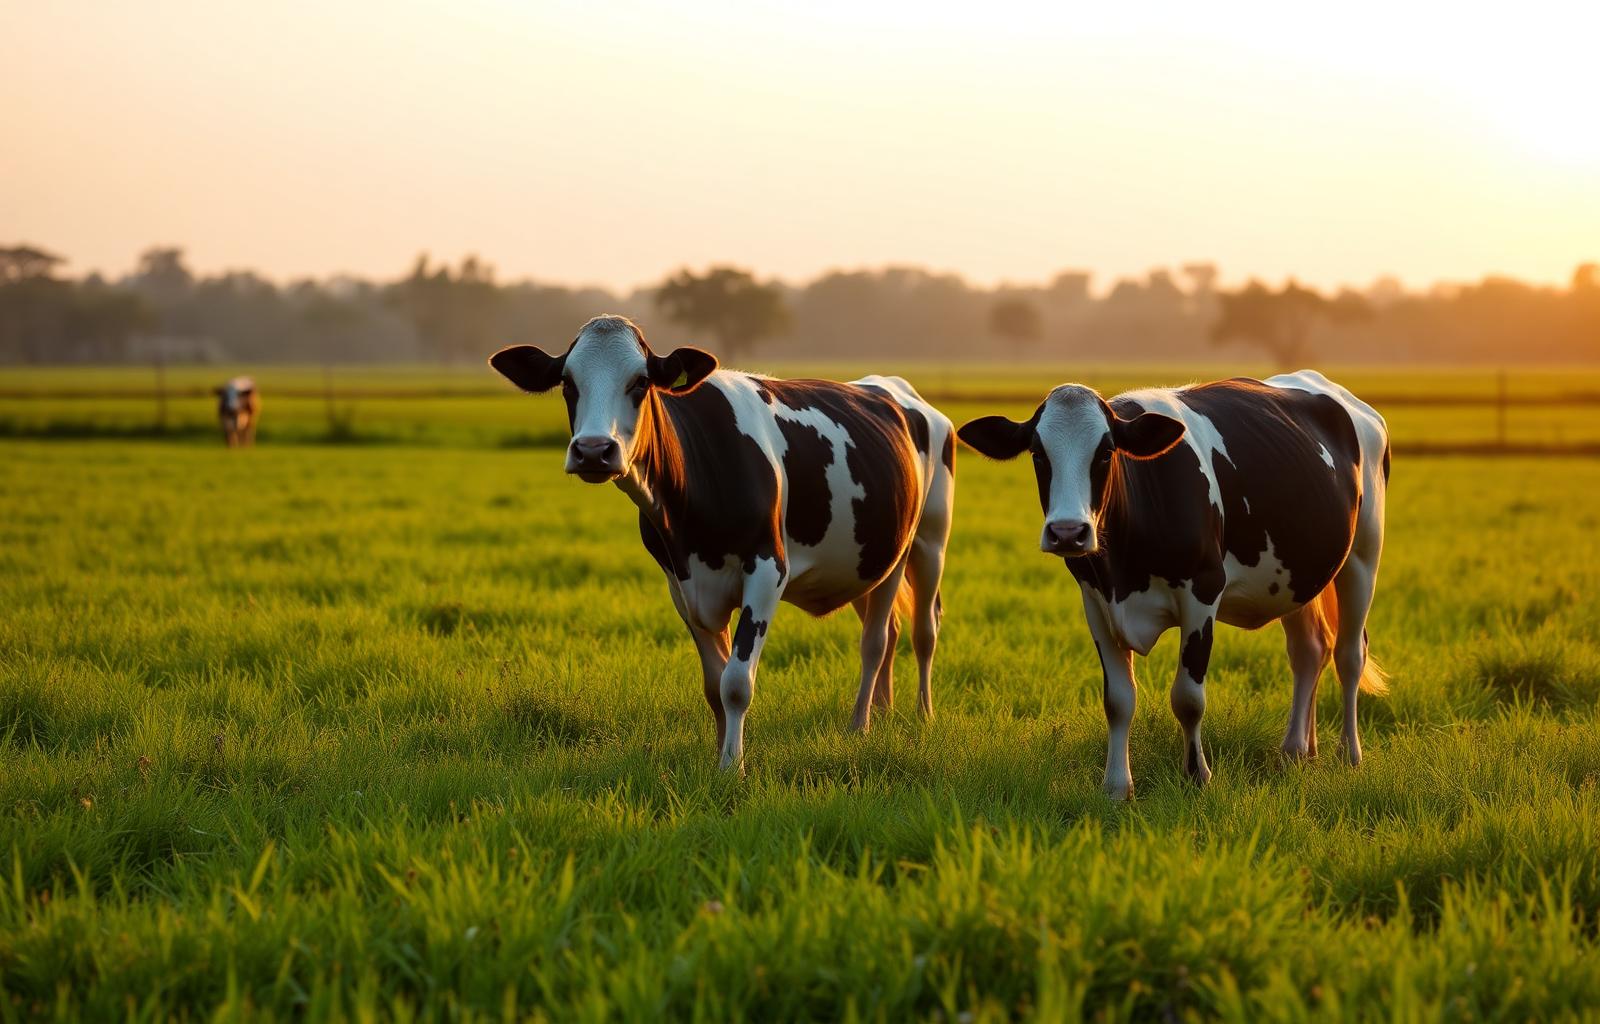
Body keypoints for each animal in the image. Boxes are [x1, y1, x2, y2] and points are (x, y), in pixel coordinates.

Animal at [490, 315, 956, 770]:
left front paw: (733, 767)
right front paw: (718, 757)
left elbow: (736, 681)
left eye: (640, 382)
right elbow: (714, 684)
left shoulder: (768, 569)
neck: (689, 521)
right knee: (888, 631)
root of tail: (891, 385)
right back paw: (882, 713)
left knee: (903, 634)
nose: (592, 451)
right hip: (864, 559)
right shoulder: (682, 584)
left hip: (925, 541)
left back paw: (894, 719)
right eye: (568, 382)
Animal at [957, 370, 1388, 799]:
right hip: (1296, 576)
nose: (1067, 533)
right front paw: (1117, 787)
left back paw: (1348, 755)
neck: (1122, 571)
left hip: (1362, 556)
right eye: (1037, 453)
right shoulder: (1095, 602)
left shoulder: (1203, 591)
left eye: (1106, 453)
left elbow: (1188, 698)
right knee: (1309, 650)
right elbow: (1118, 699)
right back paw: (1297, 751)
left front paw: (1197, 776)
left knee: (1349, 654)